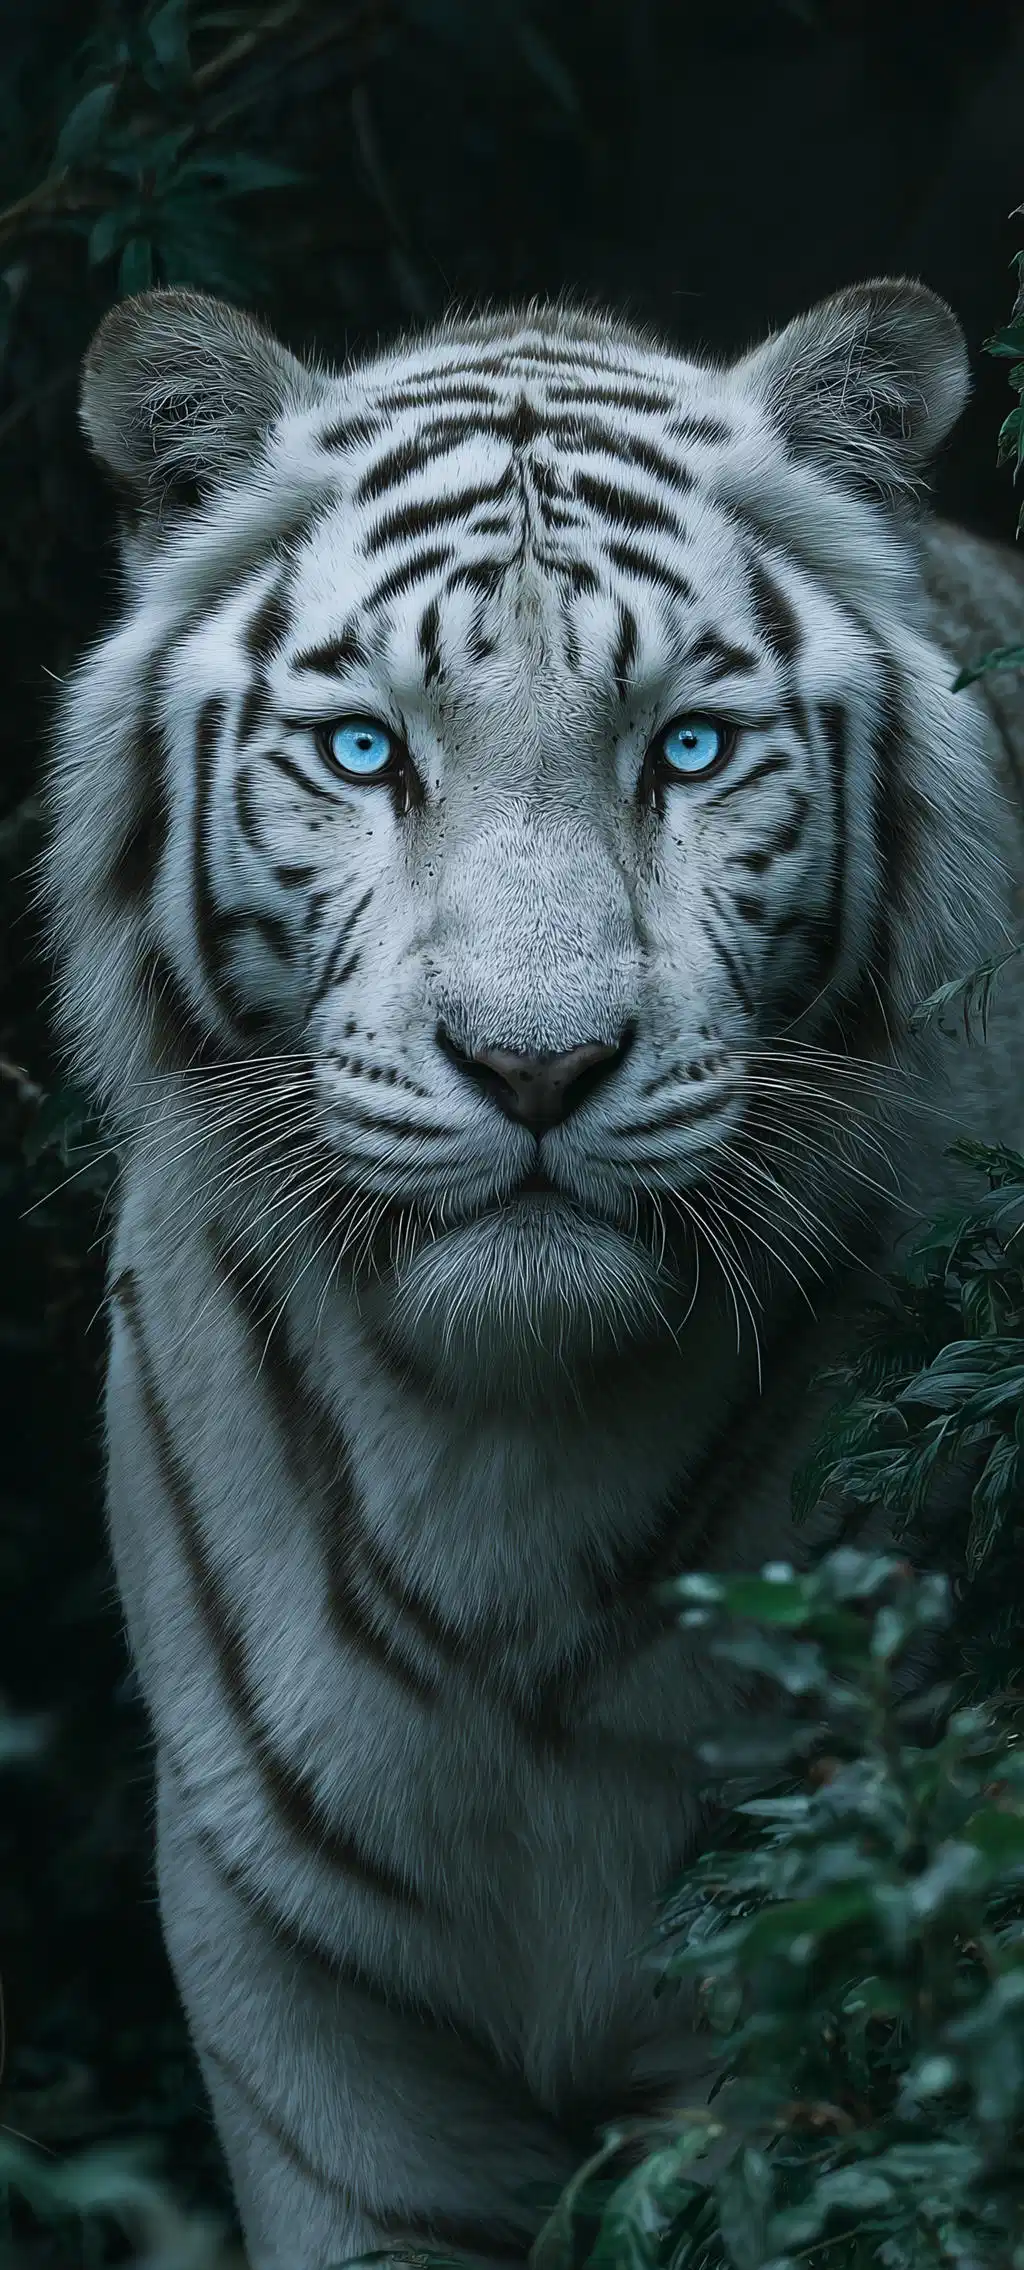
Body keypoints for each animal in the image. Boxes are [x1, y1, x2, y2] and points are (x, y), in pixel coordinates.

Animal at [41, 275, 1024, 2270]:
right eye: (364, 752)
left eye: (687, 750)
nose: (536, 1065)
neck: (497, 1436)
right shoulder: (295, 1999)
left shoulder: (774, 1963)